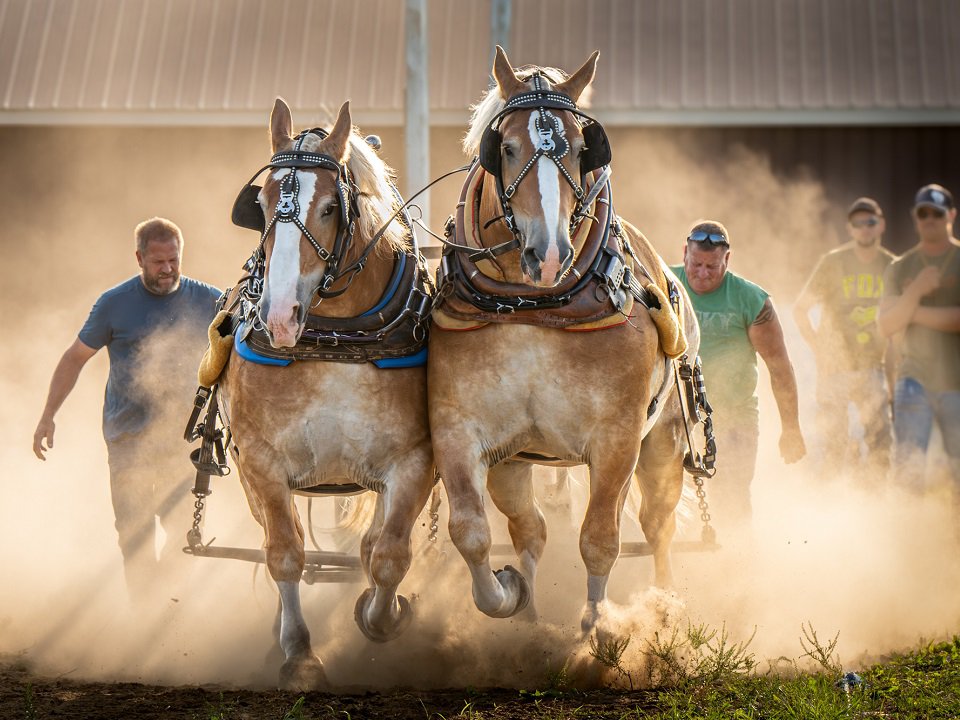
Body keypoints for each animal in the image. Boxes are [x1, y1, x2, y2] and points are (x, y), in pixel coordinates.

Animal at [219, 98, 434, 688]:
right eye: (263, 203)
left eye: (330, 208)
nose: (278, 315)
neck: (336, 339)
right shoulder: (261, 462)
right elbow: (284, 553)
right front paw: (298, 653)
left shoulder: (415, 461)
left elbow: (387, 554)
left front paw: (382, 616)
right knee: (279, 536)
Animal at [428, 49, 696, 636]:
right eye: (505, 148)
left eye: (579, 148)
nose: (548, 254)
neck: (537, 307)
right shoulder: (461, 430)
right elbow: (471, 531)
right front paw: (509, 593)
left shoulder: (618, 439)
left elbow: (599, 539)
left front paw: (597, 628)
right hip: (515, 461)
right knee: (530, 527)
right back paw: (528, 612)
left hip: (663, 442)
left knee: (657, 525)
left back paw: (665, 605)